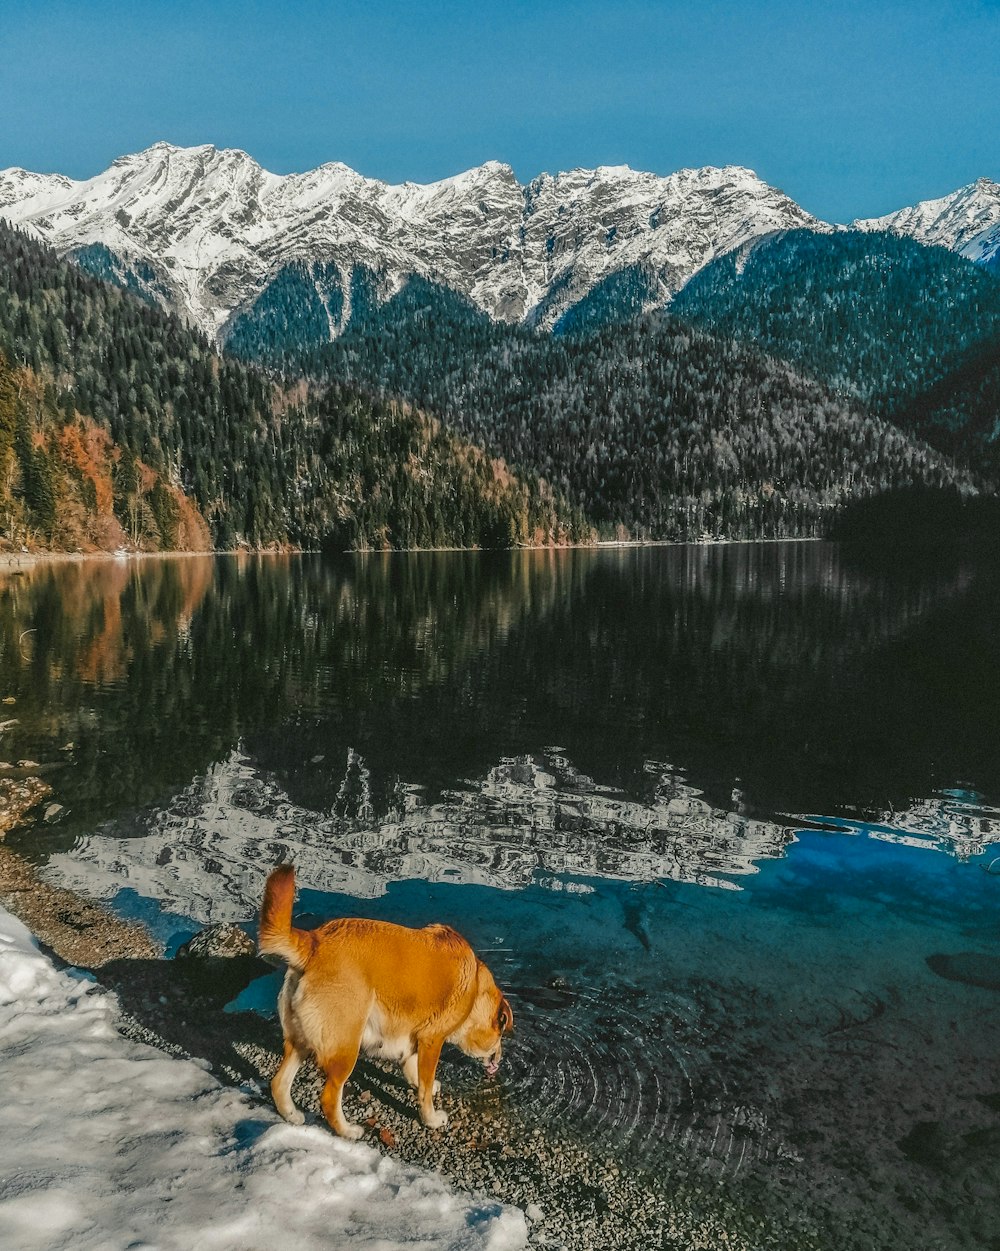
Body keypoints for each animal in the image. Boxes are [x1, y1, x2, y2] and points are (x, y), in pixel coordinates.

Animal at [257, 865, 515, 1140]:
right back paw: (348, 1131)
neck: (475, 985)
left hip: (300, 1041)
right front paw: (431, 1119)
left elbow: (414, 1070)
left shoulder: (414, 1038)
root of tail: (315, 943)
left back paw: (292, 1116)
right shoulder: (432, 1040)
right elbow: (424, 1089)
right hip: (345, 1048)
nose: (500, 1059)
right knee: (328, 1097)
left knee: (279, 1083)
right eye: (500, 1036)